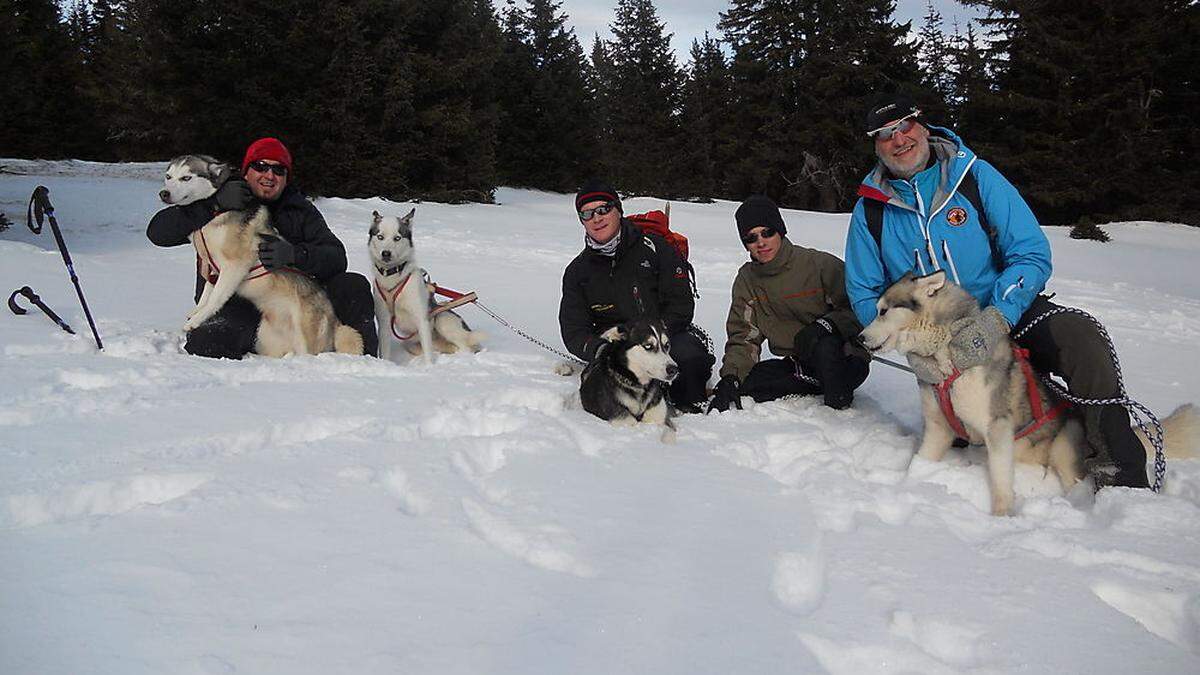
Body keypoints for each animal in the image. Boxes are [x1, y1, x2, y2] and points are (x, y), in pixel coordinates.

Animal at [160, 156, 364, 357]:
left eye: (186, 178)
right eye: (168, 176)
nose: (164, 193)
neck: (215, 213)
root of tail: (336, 320)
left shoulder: (234, 266)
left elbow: (214, 299)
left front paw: (195, 321)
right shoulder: (212, 269)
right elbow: (205, 296)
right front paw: (195, 313)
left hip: (306, 337)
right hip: (266, 338)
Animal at [364, 208, 482, 362]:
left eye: (397, 238)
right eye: (380, 236)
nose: (386, 253)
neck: (394, 277)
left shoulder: (422, 320)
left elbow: (428, 355)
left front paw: (429, 367)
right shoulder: (384, 322)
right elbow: (385, 351)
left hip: (442, 319)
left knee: (464, 348)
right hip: (411, 344)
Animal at [859, 270, 1195, 511]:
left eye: (884, 311)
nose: (860, 337)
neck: (948, 359)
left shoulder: (997, 429)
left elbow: (1000, 482)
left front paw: (1002, 518)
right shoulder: (938, 428)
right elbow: (919, 464)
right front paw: (904, 487)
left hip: (1064, 449)